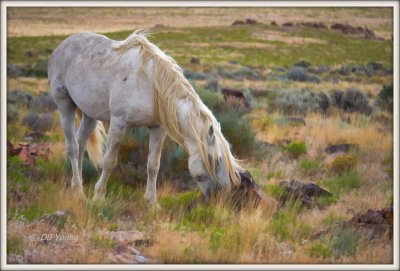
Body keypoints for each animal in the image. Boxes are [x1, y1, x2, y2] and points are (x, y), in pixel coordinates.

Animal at [47, 30, 244, 204]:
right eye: (216, 160)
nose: (222, 196)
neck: (150, 84)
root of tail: (62, 46)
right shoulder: (119, 122)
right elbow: (110, 160)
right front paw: (99, 196)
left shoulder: (158, 128)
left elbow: (153, 165)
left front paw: (152, 202)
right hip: (65, 104)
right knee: (72, 147)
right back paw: (79, 192)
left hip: (89, 113)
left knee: (80, 143)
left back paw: (76, 185)